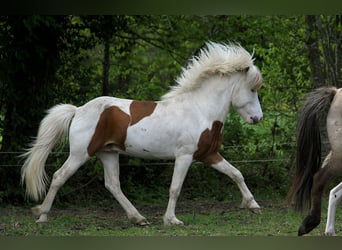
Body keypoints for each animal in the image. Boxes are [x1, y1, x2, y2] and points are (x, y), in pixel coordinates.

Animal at [21, 42, 264, 226]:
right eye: (252, 89)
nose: (258, 119)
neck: (200, 110)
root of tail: (78, 109)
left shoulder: (208, 154)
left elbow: (236, 174)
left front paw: (253, 205)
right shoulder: (184, 156)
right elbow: (175, 188)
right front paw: (172, 220)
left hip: (108, 153)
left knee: (113, 185)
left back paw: (139, 218)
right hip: (81, 153)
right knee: (59, 176)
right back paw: (41, 215)